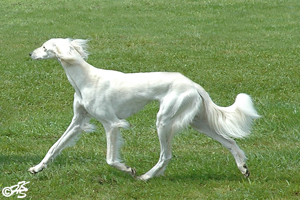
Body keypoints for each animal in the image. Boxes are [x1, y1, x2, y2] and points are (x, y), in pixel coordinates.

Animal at [28, 38, 260, 180]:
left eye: (45, 47)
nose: (30, 53)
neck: (85, 79)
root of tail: (192, 83)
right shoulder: (78, 122)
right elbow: (54, 147)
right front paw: (37, 168)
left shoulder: (112, 124)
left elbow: (110, 159)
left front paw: (128, 169)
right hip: (198, 122)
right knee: (230, 142)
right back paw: (243, 168)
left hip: (164, 121)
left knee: (166, 155)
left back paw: (146, 177)